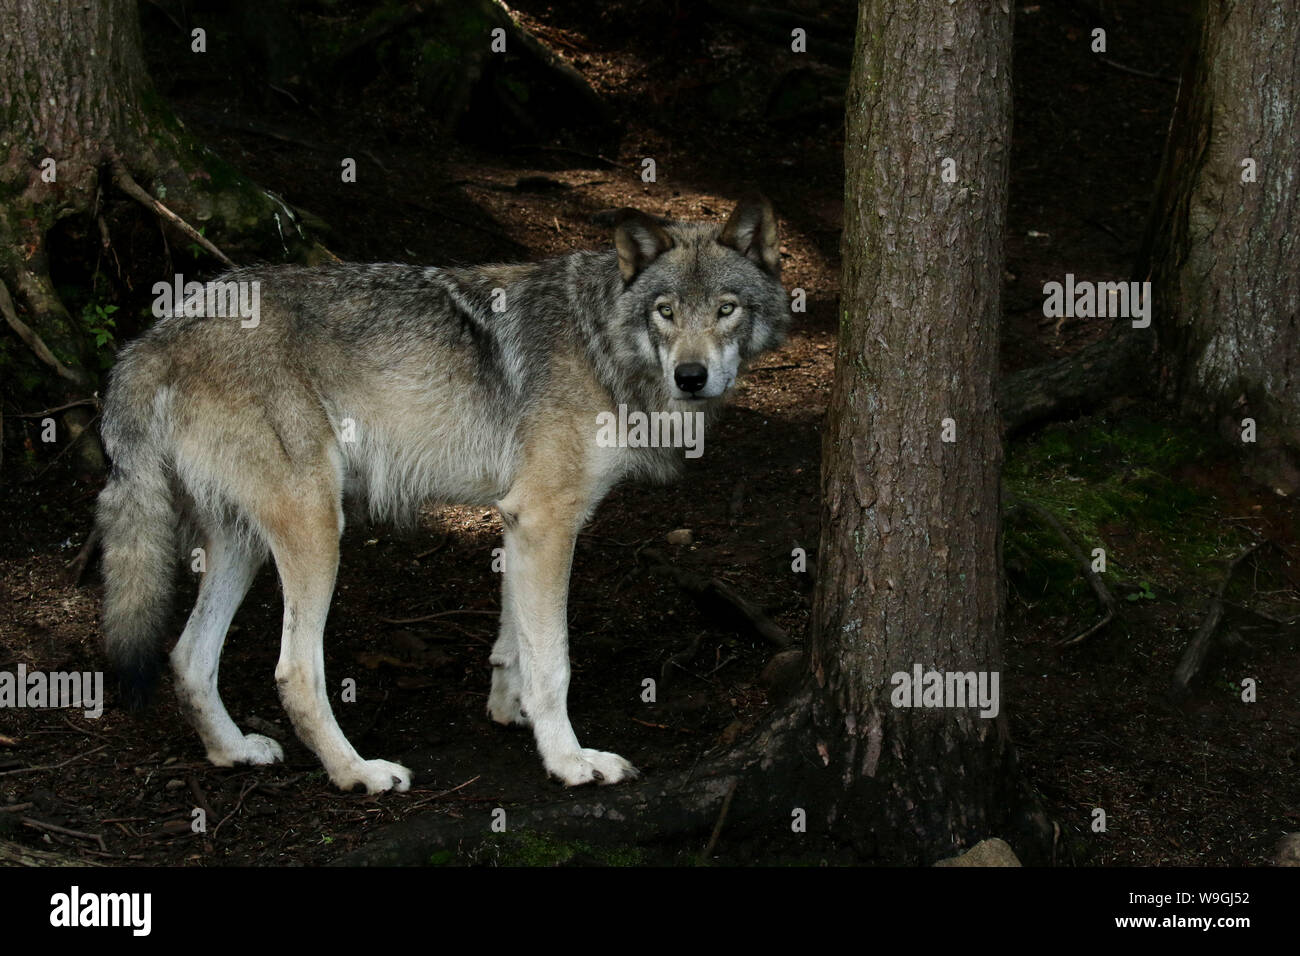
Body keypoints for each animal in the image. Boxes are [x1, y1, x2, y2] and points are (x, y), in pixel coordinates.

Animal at [95, 197, 790, 793]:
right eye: (666, 311)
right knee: (294, 672)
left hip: (243, 544)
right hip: (316, 527)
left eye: (726, 308)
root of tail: (151, 339)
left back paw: (234, 751)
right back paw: (359, 773)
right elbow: (554, 663)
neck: (601, 341)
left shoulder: (519, 520)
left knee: (188, 659)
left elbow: (515, 645)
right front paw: (569, 762)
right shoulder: (547, 520)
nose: (692, 376)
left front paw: (513, 714)